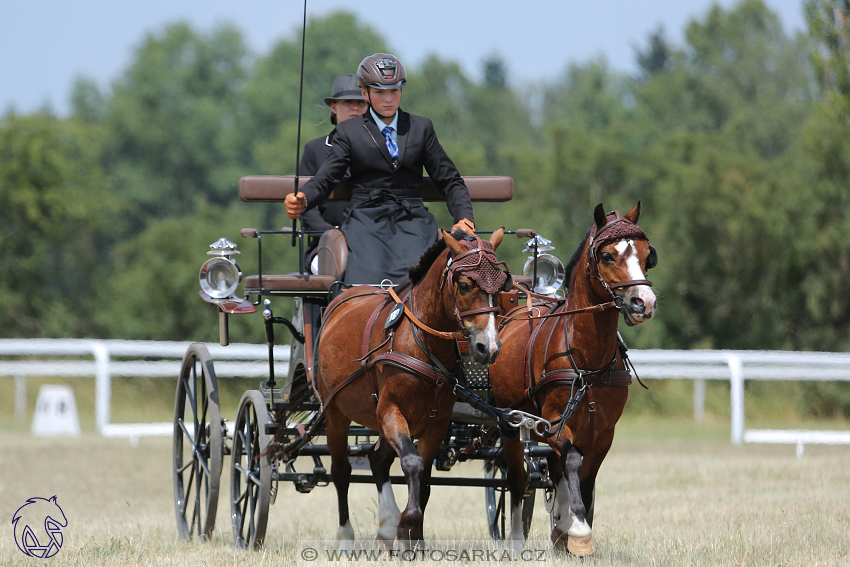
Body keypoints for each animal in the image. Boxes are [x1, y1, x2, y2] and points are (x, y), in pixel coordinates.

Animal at [274, 230, 510, 552]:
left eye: (501, 285)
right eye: (464, 285)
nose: (490, 348)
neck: (421, 342)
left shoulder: (436, 423)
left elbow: (424, 478)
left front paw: (413, 535)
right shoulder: (390, 411)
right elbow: (411, 464)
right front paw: (406, 528)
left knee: (378, 460)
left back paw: (385, 528)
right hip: (335, 413)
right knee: (341, 470)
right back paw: (346, 537)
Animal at [486, 203, 652, 556]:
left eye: (647, 255)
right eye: (607, 256)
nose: (644, 303)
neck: (586, 356)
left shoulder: (604, 432)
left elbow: (585, 477)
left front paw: (574, 528)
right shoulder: (553, 422)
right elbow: (573, 461)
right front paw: (577, 527)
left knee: (554, 470)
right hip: (511, 424)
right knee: (517, 479)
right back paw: (517, 539)